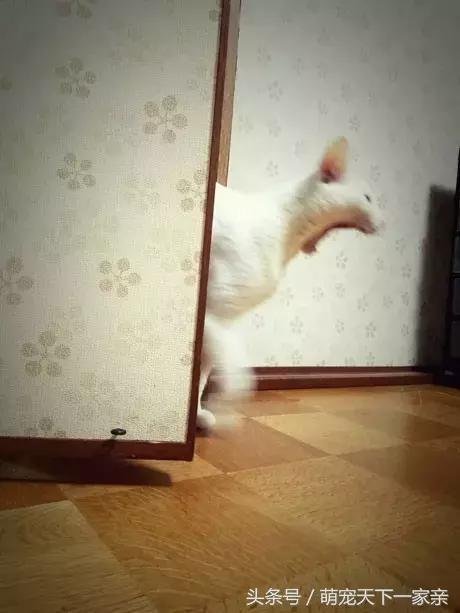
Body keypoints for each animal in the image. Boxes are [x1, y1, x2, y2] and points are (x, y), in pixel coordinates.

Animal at [197, 137, 383, 430]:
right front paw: (223, 408)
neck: (287, 233)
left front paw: (197, 414)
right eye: (368, 199)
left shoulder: (220, 323)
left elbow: (202, 372)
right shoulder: (214, 314)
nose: (386, 221)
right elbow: (238, 374)